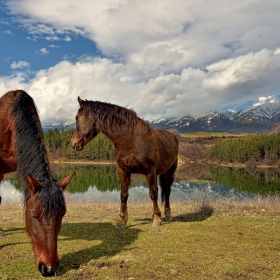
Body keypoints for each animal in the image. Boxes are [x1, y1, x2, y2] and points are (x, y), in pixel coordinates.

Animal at [71, 97, 178, 229]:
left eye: (77, 117)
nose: (73, 143)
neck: (131, 140)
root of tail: (173, 136)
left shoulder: (150, 171)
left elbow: (153, 193)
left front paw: (157, 219)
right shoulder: (122, 170)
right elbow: (123, 194)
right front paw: (122, 220)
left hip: (170, 172)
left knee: (167, 191)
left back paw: (167, 215)